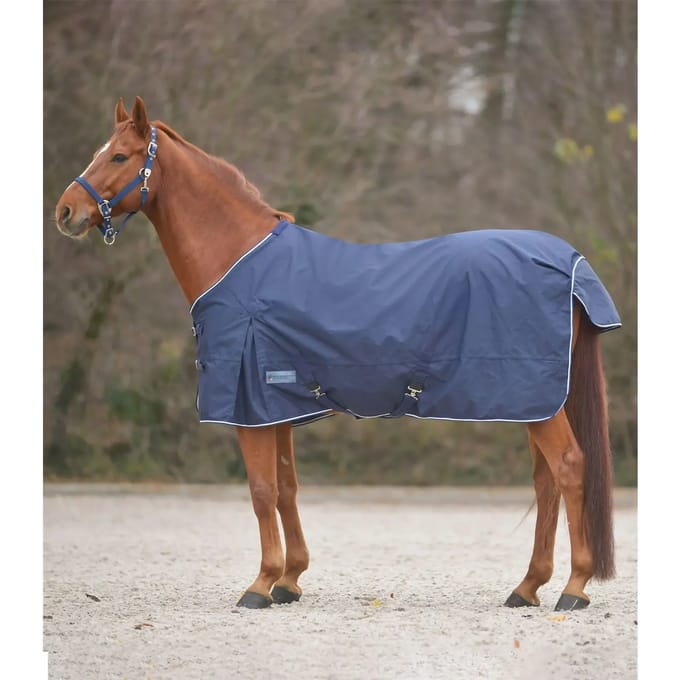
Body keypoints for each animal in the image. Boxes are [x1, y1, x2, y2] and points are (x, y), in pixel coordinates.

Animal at [54, 96, 620, 611]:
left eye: (119, 156)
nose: (65, 212)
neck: (238, 261)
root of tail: (568, 261)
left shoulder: (249, 405)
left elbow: (261, 490)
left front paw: (260, 584)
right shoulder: (276, 405)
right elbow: (286, 487)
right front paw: (289, 580)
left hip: (535, 400)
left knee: (570, 468)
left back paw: (574, 589)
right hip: (536, 402)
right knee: (546, 482)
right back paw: (527, 588)